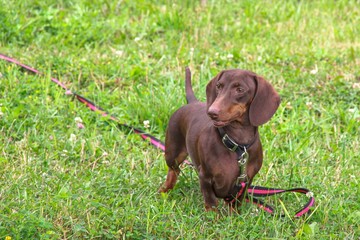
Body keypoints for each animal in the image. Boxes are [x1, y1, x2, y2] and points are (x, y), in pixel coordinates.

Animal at [158, 67, 282, 210]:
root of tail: (193, 102)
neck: (236, 145)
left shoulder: (245, 182)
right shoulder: (205, 177)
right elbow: (211, 204)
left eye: (240, 89)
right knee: (173, 170)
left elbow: (235, 204)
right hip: (173, 153)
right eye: (218, 86)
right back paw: (164, 191)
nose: (211, 112)